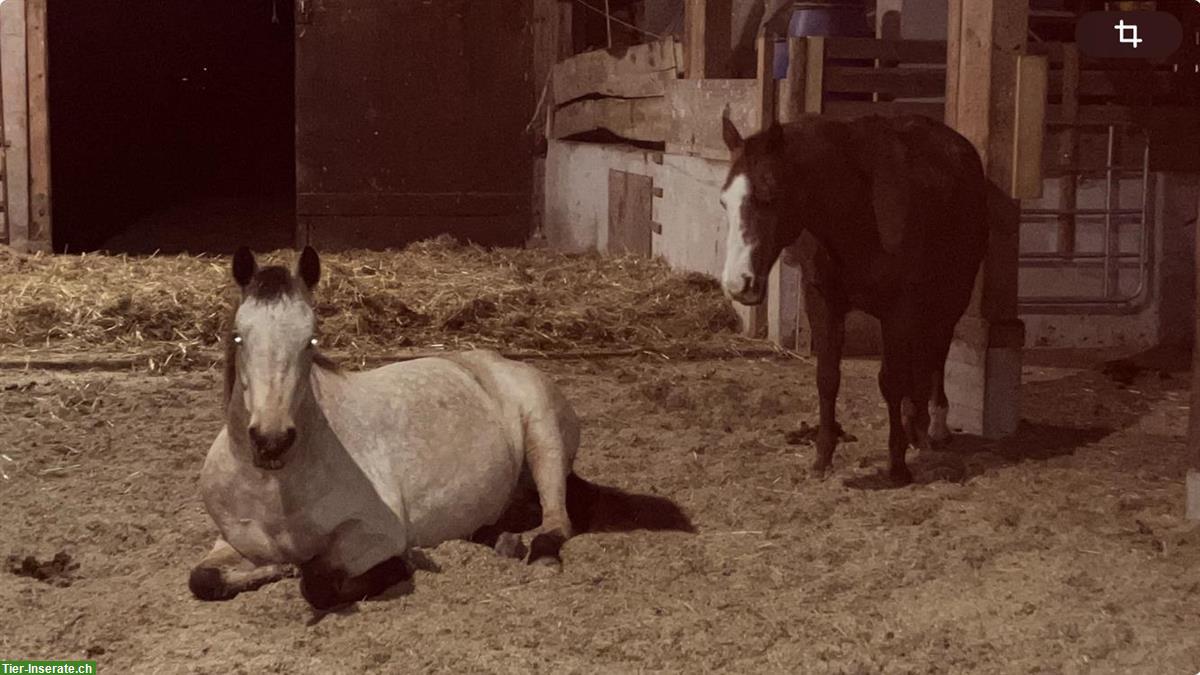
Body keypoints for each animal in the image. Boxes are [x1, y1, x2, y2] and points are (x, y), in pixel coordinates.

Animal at [187, 247, 681, 610]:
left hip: (545, 440)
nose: (272, 441)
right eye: (238, 336)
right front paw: (276, 569)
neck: (275, 487)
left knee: (557, 519)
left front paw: (398, 566)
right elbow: (203, 579)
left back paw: (538, 555)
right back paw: (501, 540)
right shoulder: (230, 541)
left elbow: (319, 582)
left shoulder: (373, 534)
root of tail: (504, 362)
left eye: (311, 340)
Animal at [715, 114, 988, 482]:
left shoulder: (899, 309)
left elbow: (891, 380)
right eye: (724, 201)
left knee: (937, 350)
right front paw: (822, 457)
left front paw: (897, 465)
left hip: (952, 294)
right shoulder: (822, 302)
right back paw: (915, 422)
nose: (737, 284)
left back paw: (933, 425)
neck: (858, 211)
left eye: (769, 196)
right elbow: (828, 378)